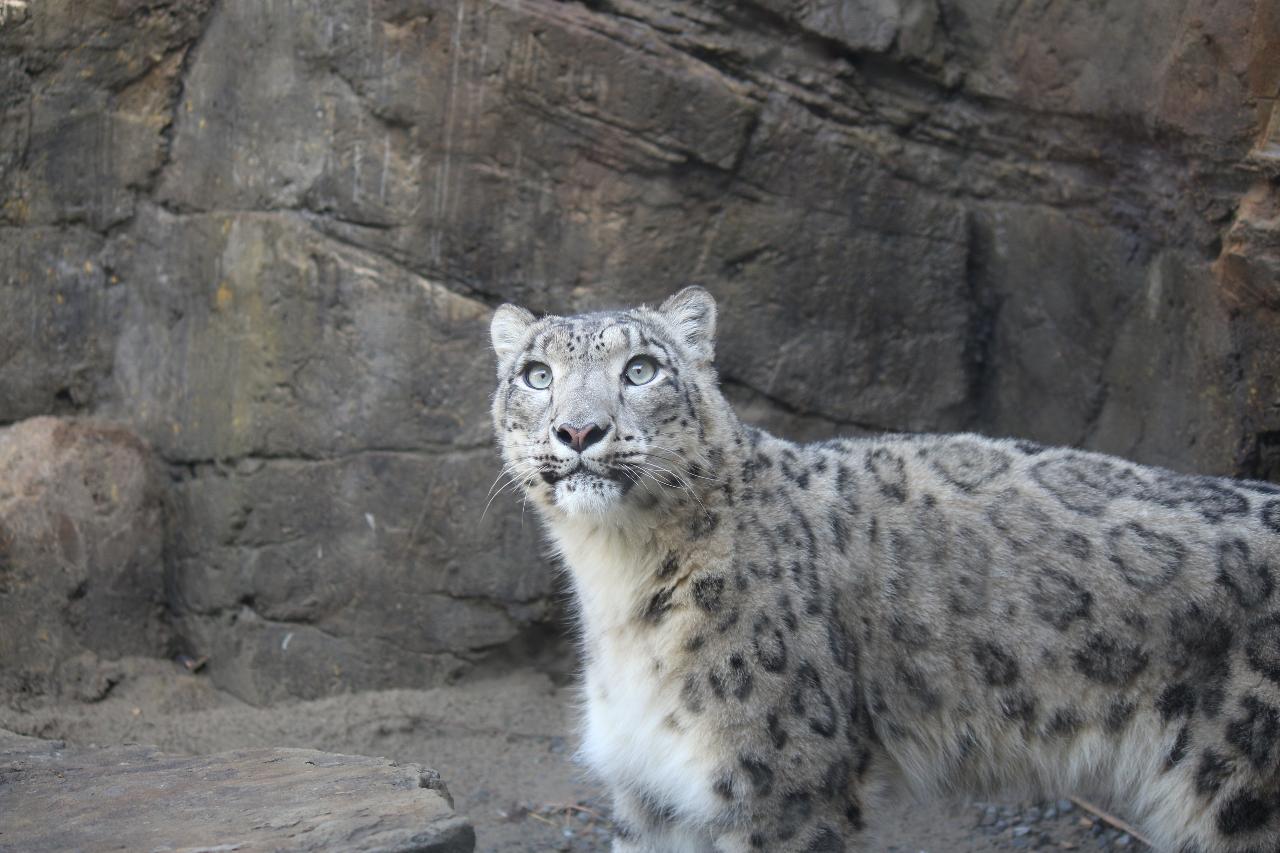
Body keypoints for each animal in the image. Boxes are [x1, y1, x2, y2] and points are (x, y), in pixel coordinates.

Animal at [483, 286, 1274, 850]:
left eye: (641, 369)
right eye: (537, 374)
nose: (579, 430)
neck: (619, 577)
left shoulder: (782, 784)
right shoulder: (647, 793)